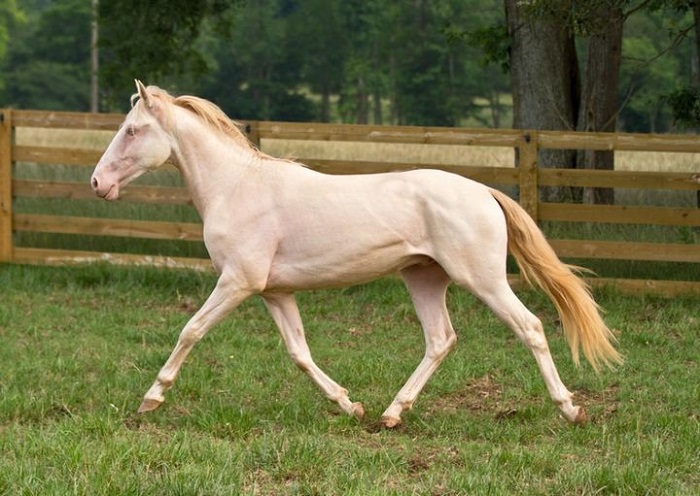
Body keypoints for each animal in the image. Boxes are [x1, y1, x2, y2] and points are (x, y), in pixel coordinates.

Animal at [90, 80, 620, 426]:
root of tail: (485, 192)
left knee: (530, 327)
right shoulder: (274, 292)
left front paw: (150, 400)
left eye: (132, 130)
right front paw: (349, 405)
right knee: (440, 340)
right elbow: (299, 352)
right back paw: (390, 414)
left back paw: (571, 409)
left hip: (483, 280)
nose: (97, 183)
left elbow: (191, 330)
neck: (236, 186)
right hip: (423, 278)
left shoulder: (238, 282)